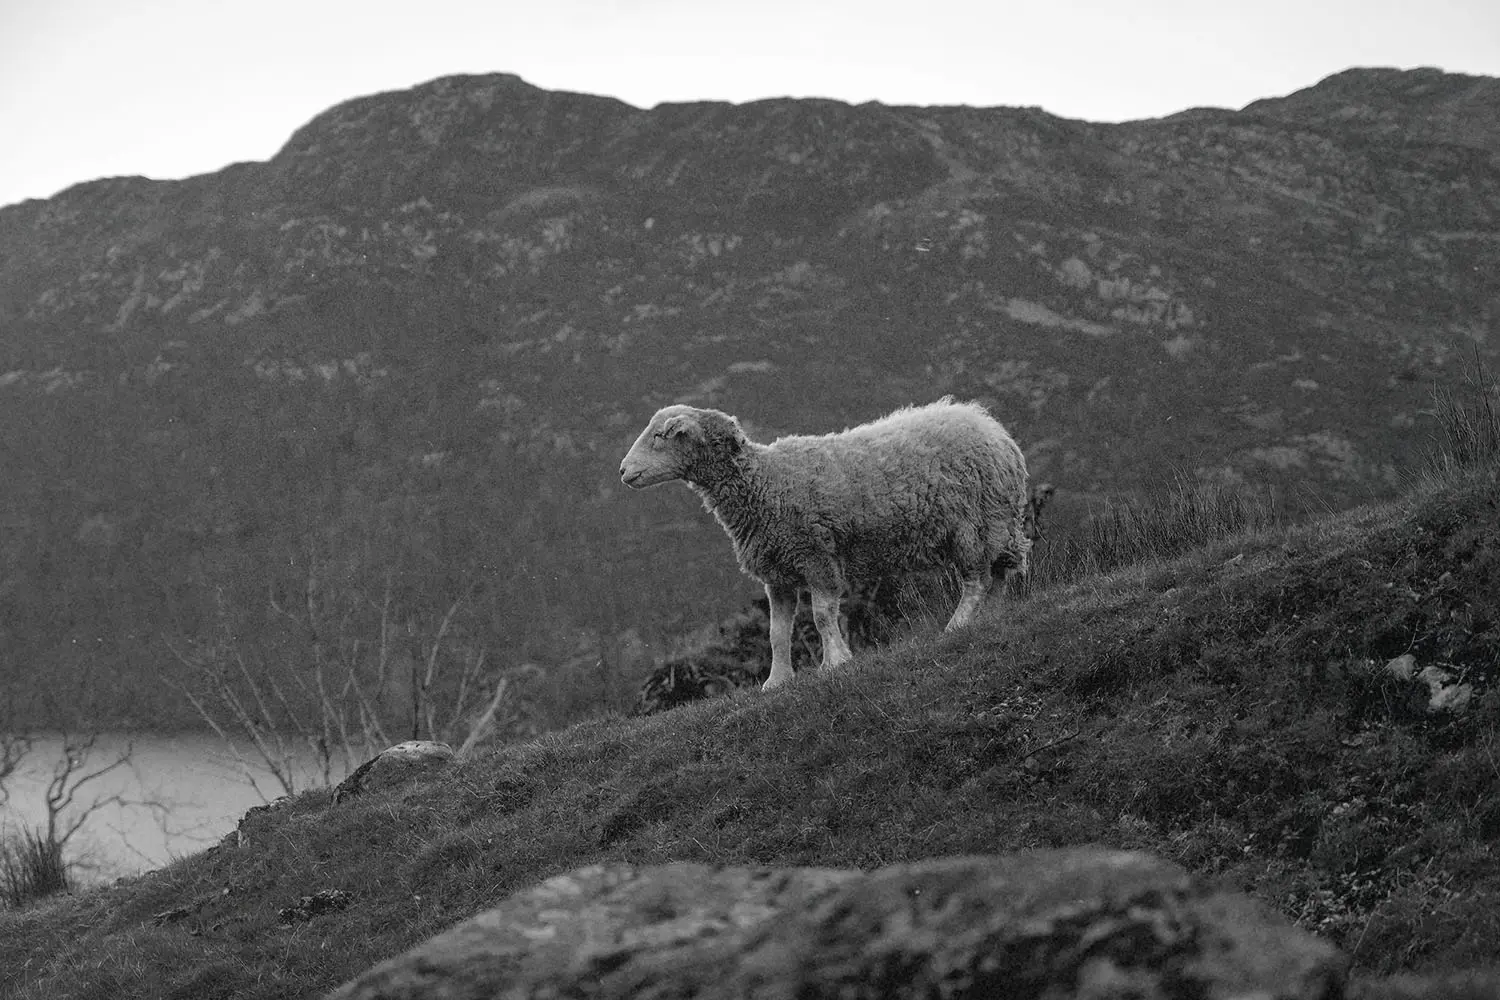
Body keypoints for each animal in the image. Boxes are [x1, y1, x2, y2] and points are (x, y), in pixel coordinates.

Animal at [619, 398, 1031, 691]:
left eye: (660, 436)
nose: (623, 471)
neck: (766, 483)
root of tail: (992, 428)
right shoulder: (778, 573)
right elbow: (777, 633)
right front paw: (777, 681)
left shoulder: (816, 556)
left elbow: (821, 616)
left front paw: (835, 661)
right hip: (993, 525)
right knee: (999, 574)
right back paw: (992, 616)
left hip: (973, 524)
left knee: (976, 580)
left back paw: (958, 625)